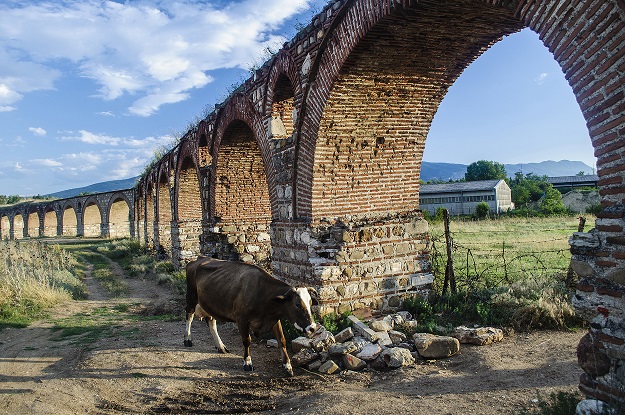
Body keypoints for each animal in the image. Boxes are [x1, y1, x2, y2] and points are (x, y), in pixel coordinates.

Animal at [182, 256, 316, 376]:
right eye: (297, 304)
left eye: (310, 303)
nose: (313, 328)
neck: (263, 293)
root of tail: (199, 259)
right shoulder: (242, 319)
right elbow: (247, 341)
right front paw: (247, 362)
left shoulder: (274, 319)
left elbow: (282, 340)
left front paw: (287, 366)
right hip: (191, 297)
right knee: (189, 316)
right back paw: (187, 339)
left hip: (210, 304)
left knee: (211, 322)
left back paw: (220, 346)